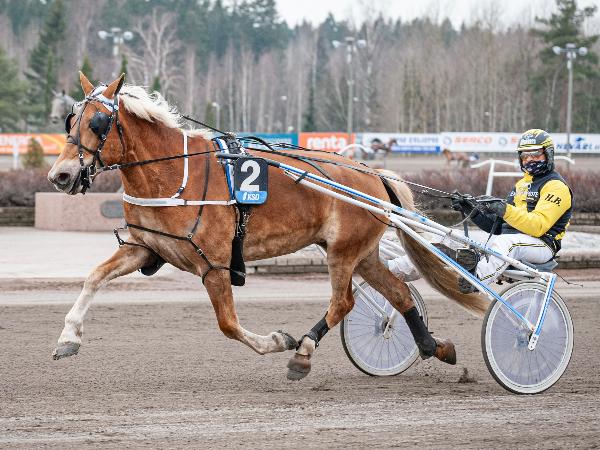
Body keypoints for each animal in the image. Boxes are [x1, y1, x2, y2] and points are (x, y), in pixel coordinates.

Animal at [47, 73, 487, 381]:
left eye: (99, 122)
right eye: (71, 119)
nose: (60, 175)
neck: (174, 174)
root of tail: (373, 174)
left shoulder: (214, 264)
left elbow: (228, 324)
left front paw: (278, 341)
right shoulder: (146, 247)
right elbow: (93, 277)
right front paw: (68, 338)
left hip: (344, 252)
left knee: (343, 303)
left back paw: (303, 352)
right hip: (362, 253)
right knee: (398, 293)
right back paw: (435, 346)